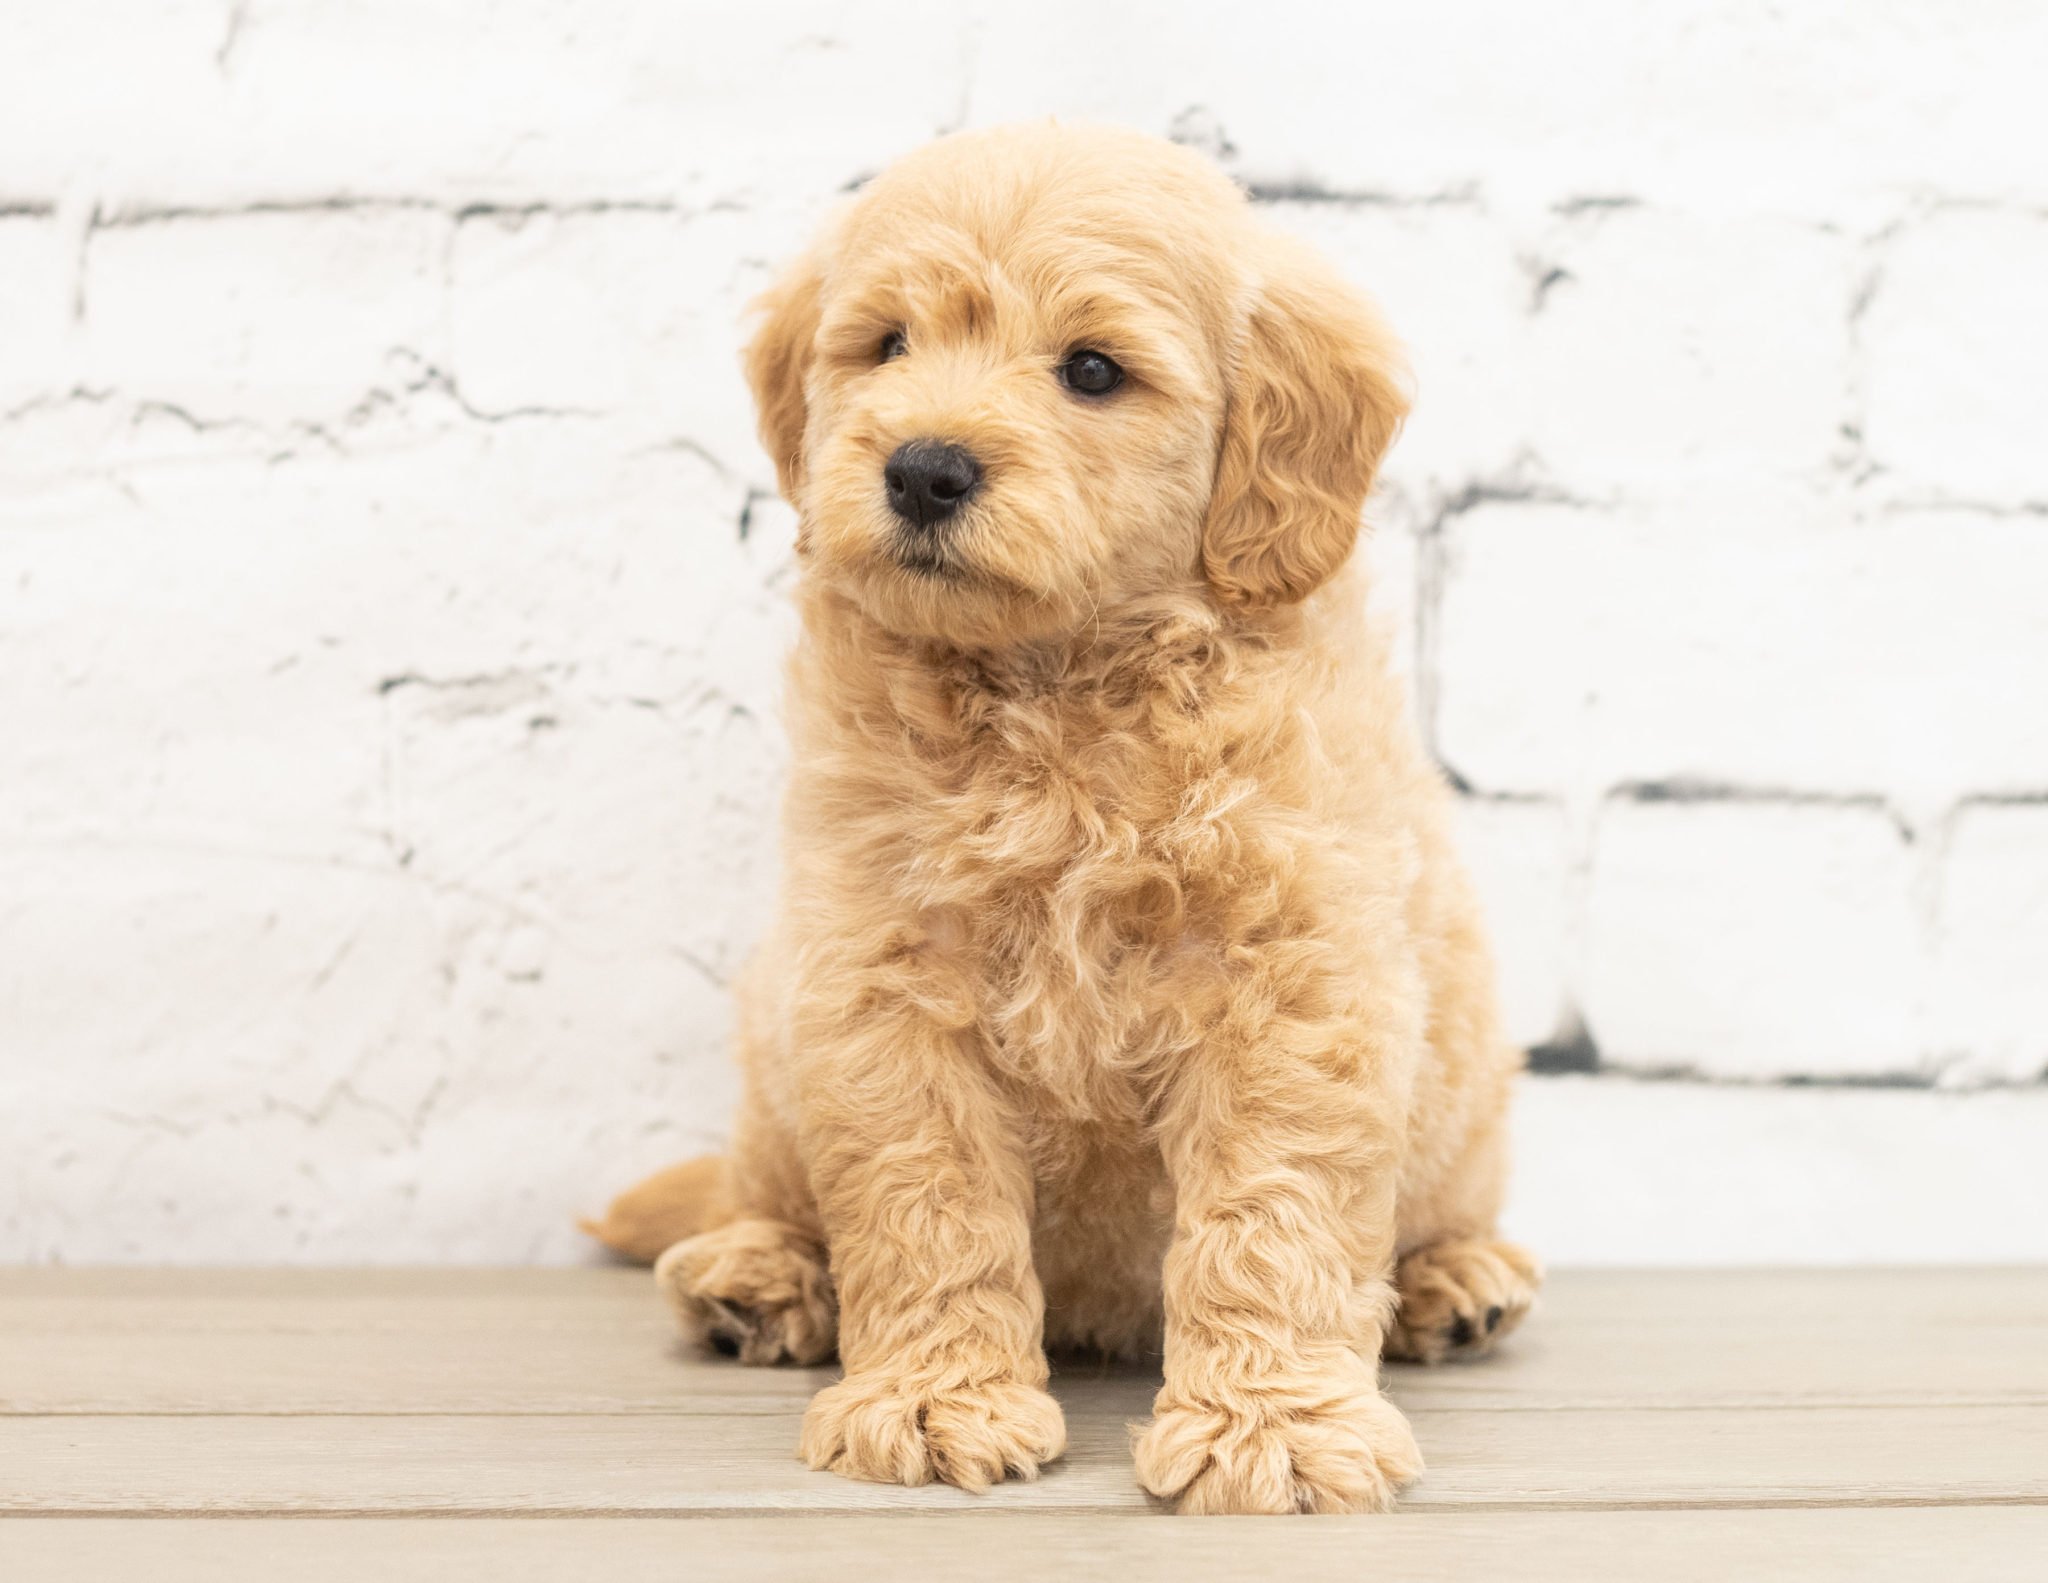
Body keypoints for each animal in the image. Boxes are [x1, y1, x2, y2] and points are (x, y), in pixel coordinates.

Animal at [585, 120, 1540, 1507]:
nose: (923, 467)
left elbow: (1271, 1210)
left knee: (1439, 1212)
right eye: (887, 345)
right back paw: (755, 1271)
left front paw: (1270, 1423)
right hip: (773, 1050)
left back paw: (1453, 1277)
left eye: (1091, 370)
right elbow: (923, 1201)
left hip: (1465, 1097)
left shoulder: (1292, 983)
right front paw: (935, 1398)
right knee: (761, 1184)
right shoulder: (880, 980)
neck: (1057, 691)